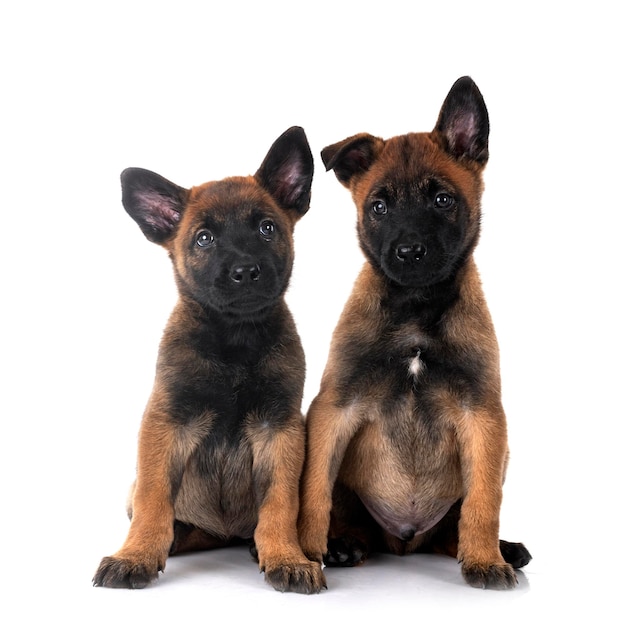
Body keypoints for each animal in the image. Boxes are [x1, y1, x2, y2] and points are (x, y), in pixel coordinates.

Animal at [93, 125, 324, 588]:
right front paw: (136, 554)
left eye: (267, 228)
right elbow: (153, 499)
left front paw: (285, 556)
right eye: (204, 238)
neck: (234, 340)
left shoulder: (280, 429)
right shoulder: (166, 422)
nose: (246, 271)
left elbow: (279, 502)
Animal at [298, 75, 528, 588]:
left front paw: (484, 559)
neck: (416, 310)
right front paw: (304, 550)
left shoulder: (484, 418)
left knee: (454, 527)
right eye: (379, 206)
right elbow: (313, 490)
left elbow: (484, 502)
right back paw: (343, 545)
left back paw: (500, 549)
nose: (408, 252)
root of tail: (404, 541)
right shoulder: (334, 409)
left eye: (443, 200)